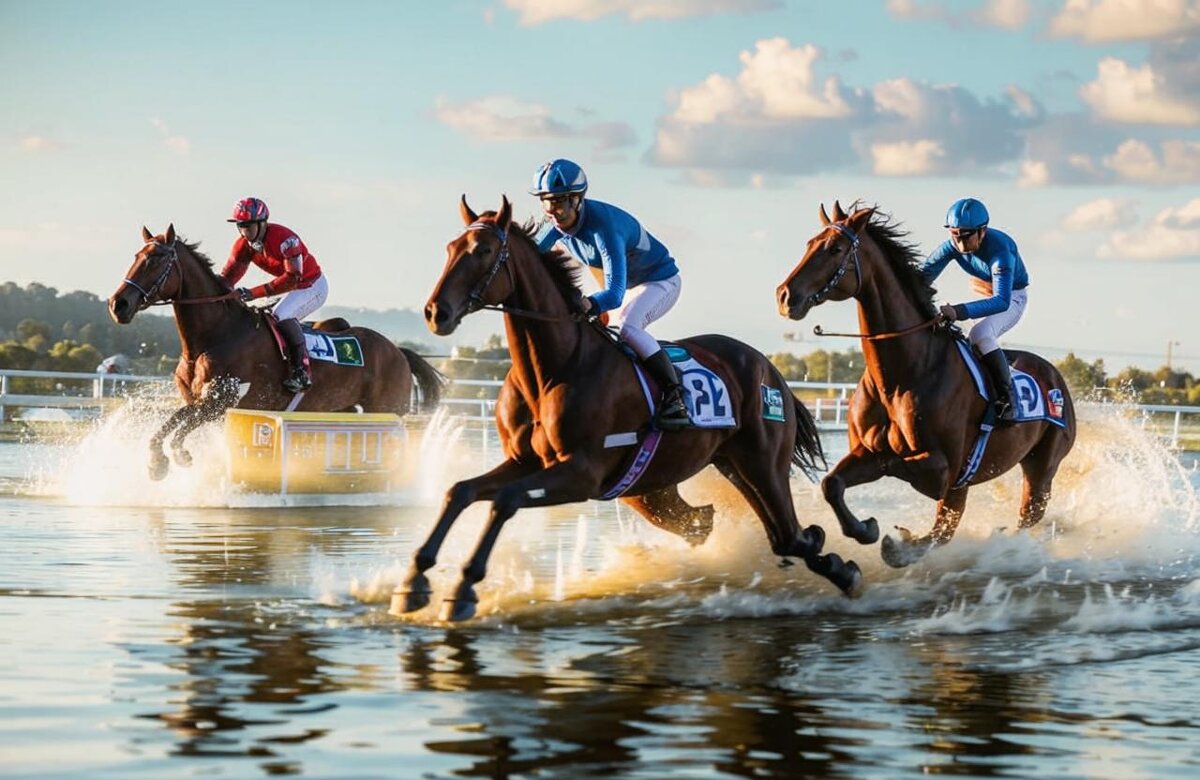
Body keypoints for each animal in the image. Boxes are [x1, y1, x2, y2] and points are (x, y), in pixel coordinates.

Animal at [108, 222, 444, 480]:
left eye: (155, 260)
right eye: (137, 256)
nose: (117, 304)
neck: (214, 336)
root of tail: (397, 350)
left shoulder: (220, 400)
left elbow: (175, 426)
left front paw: (167, 459)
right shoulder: (200, 402)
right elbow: (173, 422)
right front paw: (163, 460)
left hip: (388, 409)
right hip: (342, 408)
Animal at [388, 195, 859, 619]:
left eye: (483, 251)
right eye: (451, 248)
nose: (436, 312)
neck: (553, 368)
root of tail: (770, 369)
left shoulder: (581, 473)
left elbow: (504, 501)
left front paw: (464, 588)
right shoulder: (525, 461)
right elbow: (460, 491)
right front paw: (414, 581)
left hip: (762, 461)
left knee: (787, 532)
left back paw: (845, 567)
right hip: (699, 472)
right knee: (734, 527)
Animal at [777, 200, 1080, 564]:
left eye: (835, 249)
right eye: (809, 244)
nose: (785, 296)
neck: (900, 377)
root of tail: (1056, 378)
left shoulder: (943, 470)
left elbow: (895, 462)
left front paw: (894, 540)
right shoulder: (870, 452)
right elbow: (832, 484)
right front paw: (865, 529)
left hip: (1041, 467)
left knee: (1016, 517)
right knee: (946, 529)